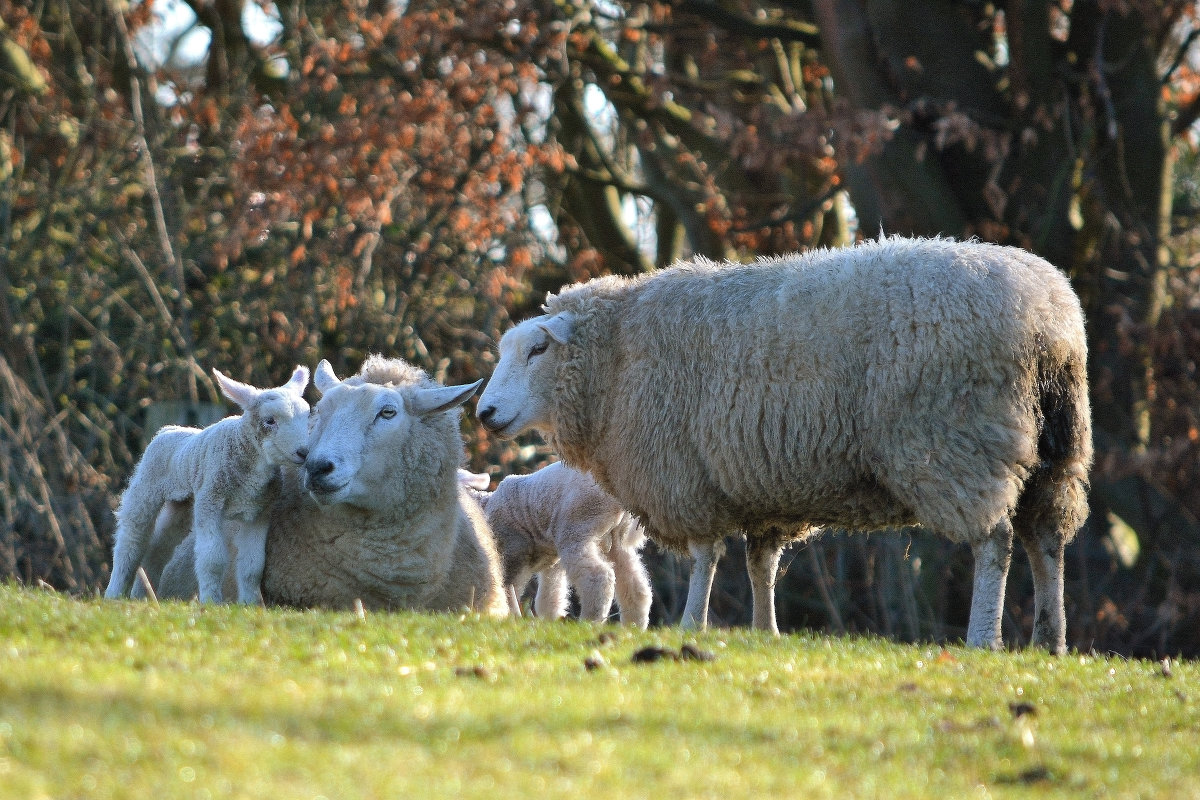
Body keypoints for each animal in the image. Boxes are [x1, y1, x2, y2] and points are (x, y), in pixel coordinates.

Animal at [104, 367, 309, 604]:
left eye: (308, 417)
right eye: (269, 421)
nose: (304, 452)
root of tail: (168, 429)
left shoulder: (259, 512)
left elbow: (252, 565)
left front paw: (250, 604)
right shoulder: (210, 500)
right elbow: (212, 558)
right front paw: (212, 601)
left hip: (183, 503)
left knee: (158, 548)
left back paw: (141, 597)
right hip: (146, 488)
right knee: (131, 541)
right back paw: (114, 594)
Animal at [470, 462, 657, 633]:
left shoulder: (513, 549)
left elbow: (508, 587)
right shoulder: (552, 562)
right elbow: (550, 596)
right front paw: (549, 622)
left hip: (577, 528)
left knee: (598, 577)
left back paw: (590, 622)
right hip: (616, 540)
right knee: (635, 585)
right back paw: (633, 628)